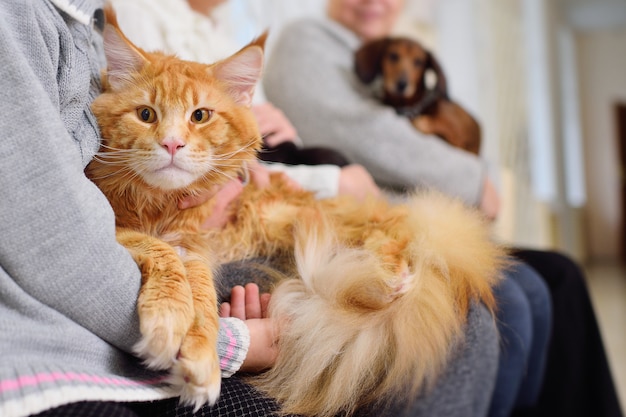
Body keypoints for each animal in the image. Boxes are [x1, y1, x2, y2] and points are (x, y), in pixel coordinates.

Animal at [85, 7, 508, 416]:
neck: (162, 206)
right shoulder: (127, 228)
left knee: (396, 232)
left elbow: (201, 298)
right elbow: (166, 259)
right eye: (146, 115)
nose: (172, 144)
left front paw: (199, 356)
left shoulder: (194, 247)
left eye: (200, 116)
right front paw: (172, 326)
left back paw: (393, 276)